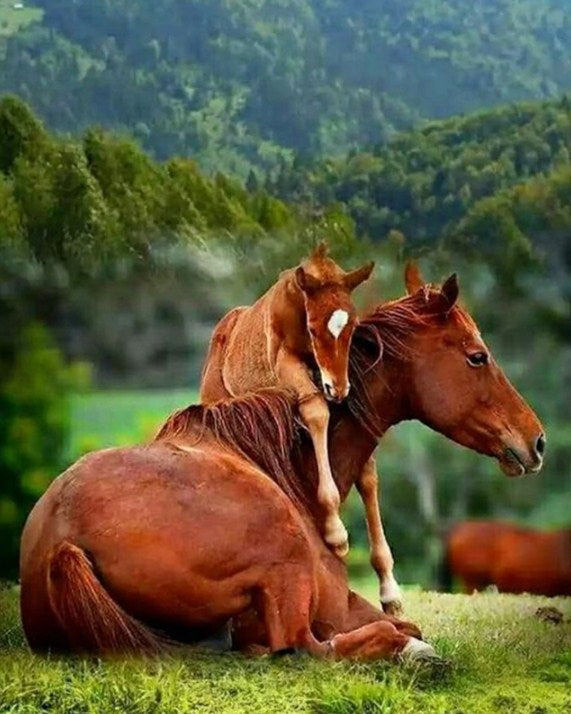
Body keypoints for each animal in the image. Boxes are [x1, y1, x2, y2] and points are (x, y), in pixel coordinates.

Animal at [200, 242, 374, 557]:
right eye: (314, 328)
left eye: (352, 327)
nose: (338, 388)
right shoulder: (285, 362)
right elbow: (316, 411)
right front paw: (336, 533)